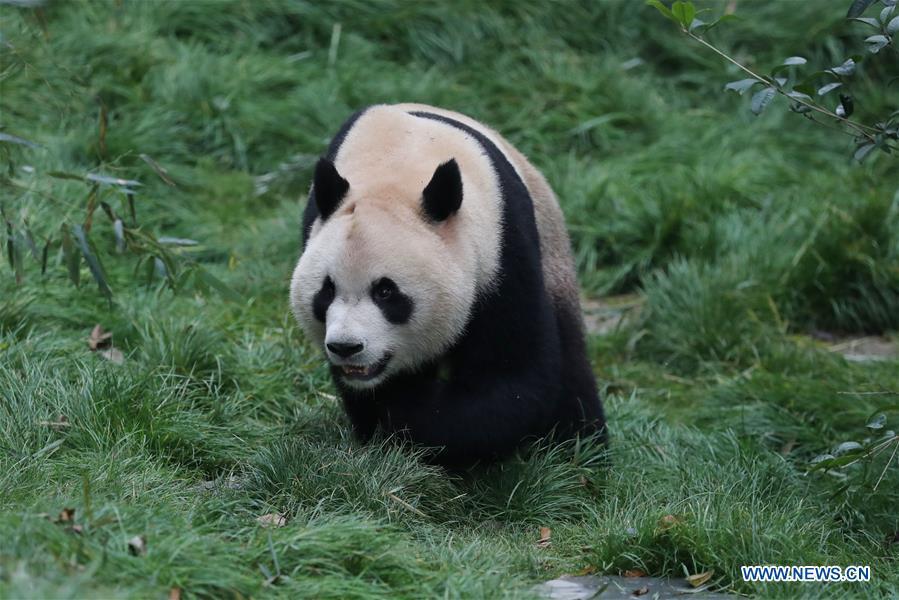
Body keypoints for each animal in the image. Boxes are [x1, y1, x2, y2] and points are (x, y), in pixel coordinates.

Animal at [292, 104, 608, 468]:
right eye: (326, 291)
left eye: (386, 292)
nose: (346, 347)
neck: (397, 166)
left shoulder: (502, 249)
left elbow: (511, 376)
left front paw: (411, 414)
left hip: (552, 249)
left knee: (570, 357)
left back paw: (581, 445)